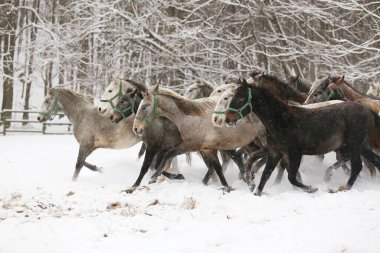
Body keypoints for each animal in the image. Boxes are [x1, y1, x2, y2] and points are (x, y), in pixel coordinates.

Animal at [224, 79, 380, 196]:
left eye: (240, 97)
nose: (227, 119)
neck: (281, 120)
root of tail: (367, 110)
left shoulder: (295, 153)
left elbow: (291, 177)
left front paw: (312, 189)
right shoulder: (275, 153)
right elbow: (266, 175)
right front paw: (255, 190)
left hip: (353, 146)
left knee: (357, 167)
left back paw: (341, 187)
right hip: (361, 146)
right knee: (374, 161)